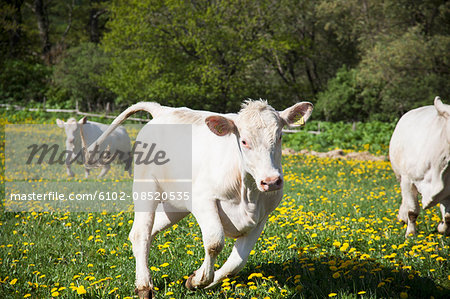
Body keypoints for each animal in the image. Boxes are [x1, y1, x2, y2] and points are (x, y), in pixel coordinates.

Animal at [84, 100, 314, 298]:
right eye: (244, 141)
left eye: (280, 136)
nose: (271, 181)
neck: (247, 192)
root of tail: (163, 110)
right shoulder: (203, 201)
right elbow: (214, 242)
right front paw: (198, 280)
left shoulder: (261, 218)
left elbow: (236, 263)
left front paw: (199, 281)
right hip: (146, 187)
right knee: (141, 233)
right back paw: (144, 285)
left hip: (175, 206)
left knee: (148, 231)